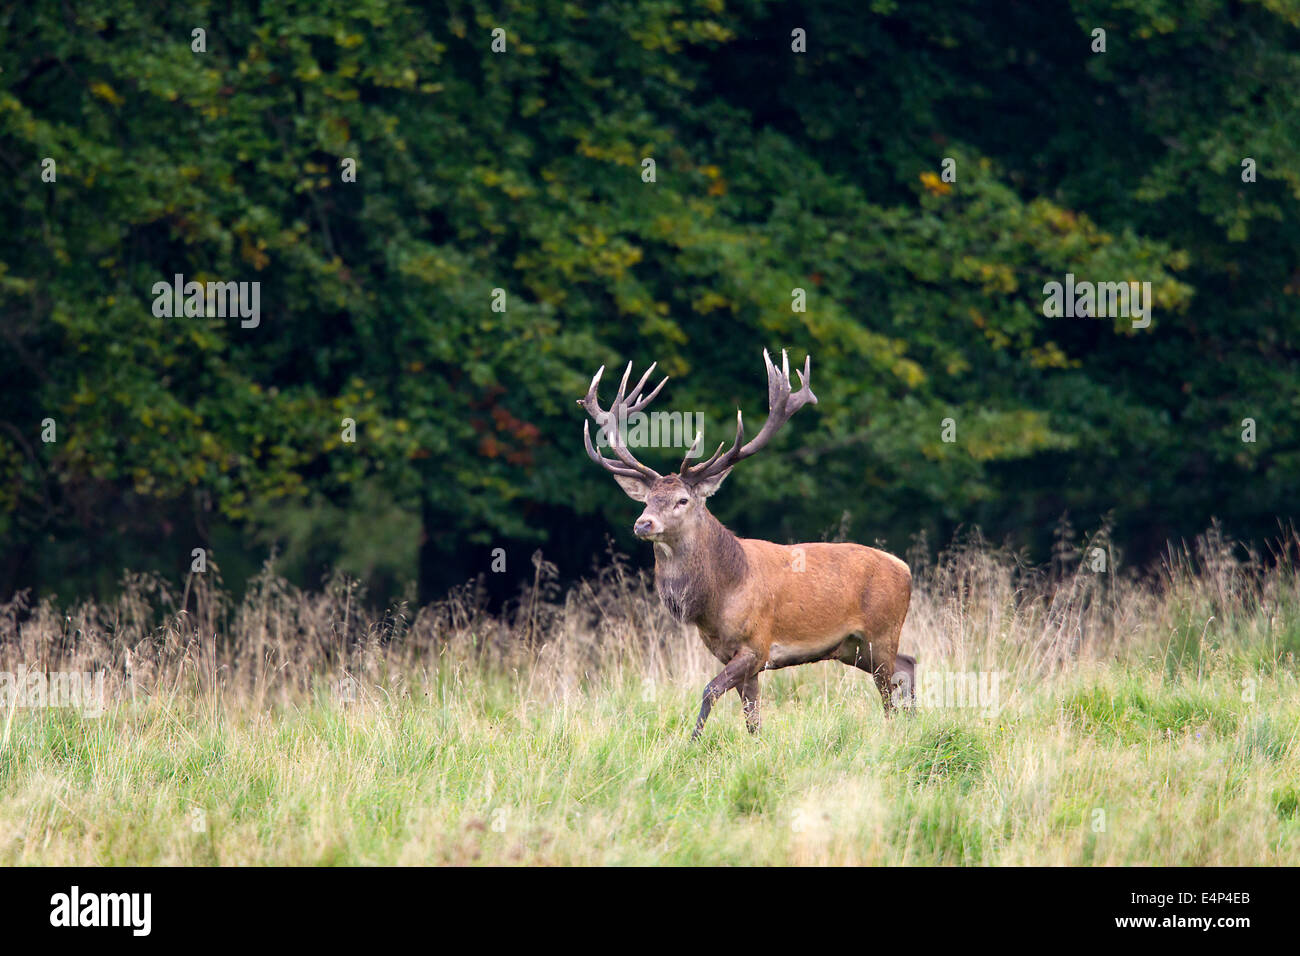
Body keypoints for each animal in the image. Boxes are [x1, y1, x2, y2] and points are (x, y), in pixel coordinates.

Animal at [579, 351, 915, 738]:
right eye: (647, 500)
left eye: (682, 500)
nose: (643, 523)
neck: (719, 596)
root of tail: (905, 569)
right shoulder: (729, 653)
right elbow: (752, 719)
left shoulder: (756, 645)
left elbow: (710, 690)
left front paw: (692, 740)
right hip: (854, 647)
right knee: (909, 663)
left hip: (882, 631)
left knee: (891, 687)